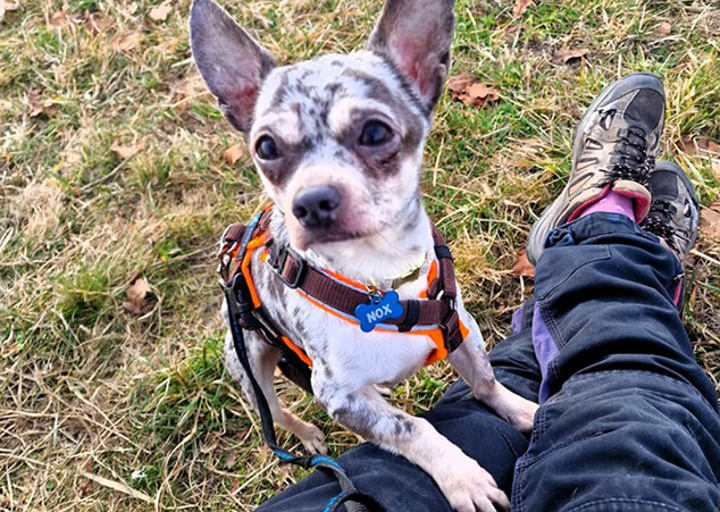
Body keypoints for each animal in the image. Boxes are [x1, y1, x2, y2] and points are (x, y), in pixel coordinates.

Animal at [190, 1, 538, 510]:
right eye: (266, 147)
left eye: (375, 132)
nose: (311, 200)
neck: (381, 281)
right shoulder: (340, 396)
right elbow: (413, 428)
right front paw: (464, 479)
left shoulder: (463, 331)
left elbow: (486, 381)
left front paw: (523, 409)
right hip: (250, 366)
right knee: (275, 413)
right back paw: (308, 435)